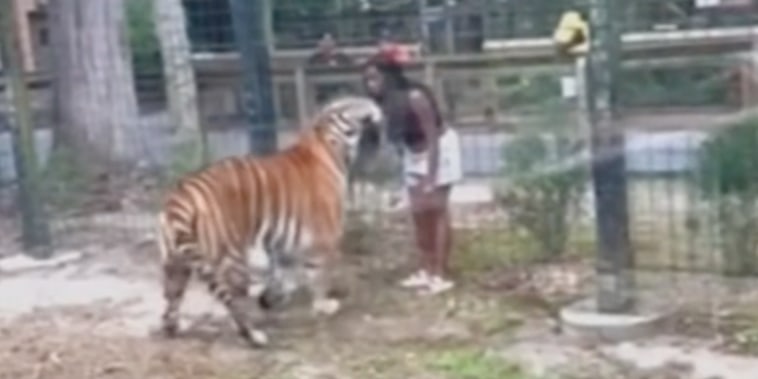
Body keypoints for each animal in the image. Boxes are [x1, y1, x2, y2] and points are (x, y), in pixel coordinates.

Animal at [156, 96, 386, 348]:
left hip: (175, 264)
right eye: (355, 102)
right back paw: (253, 334)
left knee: (170, 302)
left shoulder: (286, 243)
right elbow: (317, 276)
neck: (326, 138)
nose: (376, 105)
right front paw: (323, 306)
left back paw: (172, 329)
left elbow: (283, 276)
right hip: (232, 261)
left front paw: (270, 299)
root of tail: (180, 199)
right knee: (234, 303)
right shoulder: (324, 238)